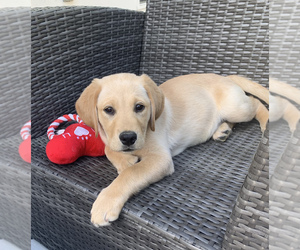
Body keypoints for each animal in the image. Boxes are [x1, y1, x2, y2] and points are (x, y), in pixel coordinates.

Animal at [76, 73, 268, 227]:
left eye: (139, 107)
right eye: (108, 110)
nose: (128, 138)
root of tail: (225, 77)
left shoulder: (161, 159)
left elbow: (131, 173)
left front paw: (105, 203)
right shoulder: (110, 139)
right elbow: (109, 149)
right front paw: (125, 161)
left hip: (236, 108)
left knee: (256, 103)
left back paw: (266, 121)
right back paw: (222, 130)